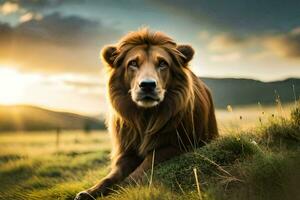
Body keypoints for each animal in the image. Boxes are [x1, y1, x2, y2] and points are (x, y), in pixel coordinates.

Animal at [74, 28, 218, 199]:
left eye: (162, 63)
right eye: (133, 63)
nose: (147, 85)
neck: (145, 116)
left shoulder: (178, 145)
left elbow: (144, 166)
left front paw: (120, 190)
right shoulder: (127, 150)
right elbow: (111, 176)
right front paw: (88, 192)